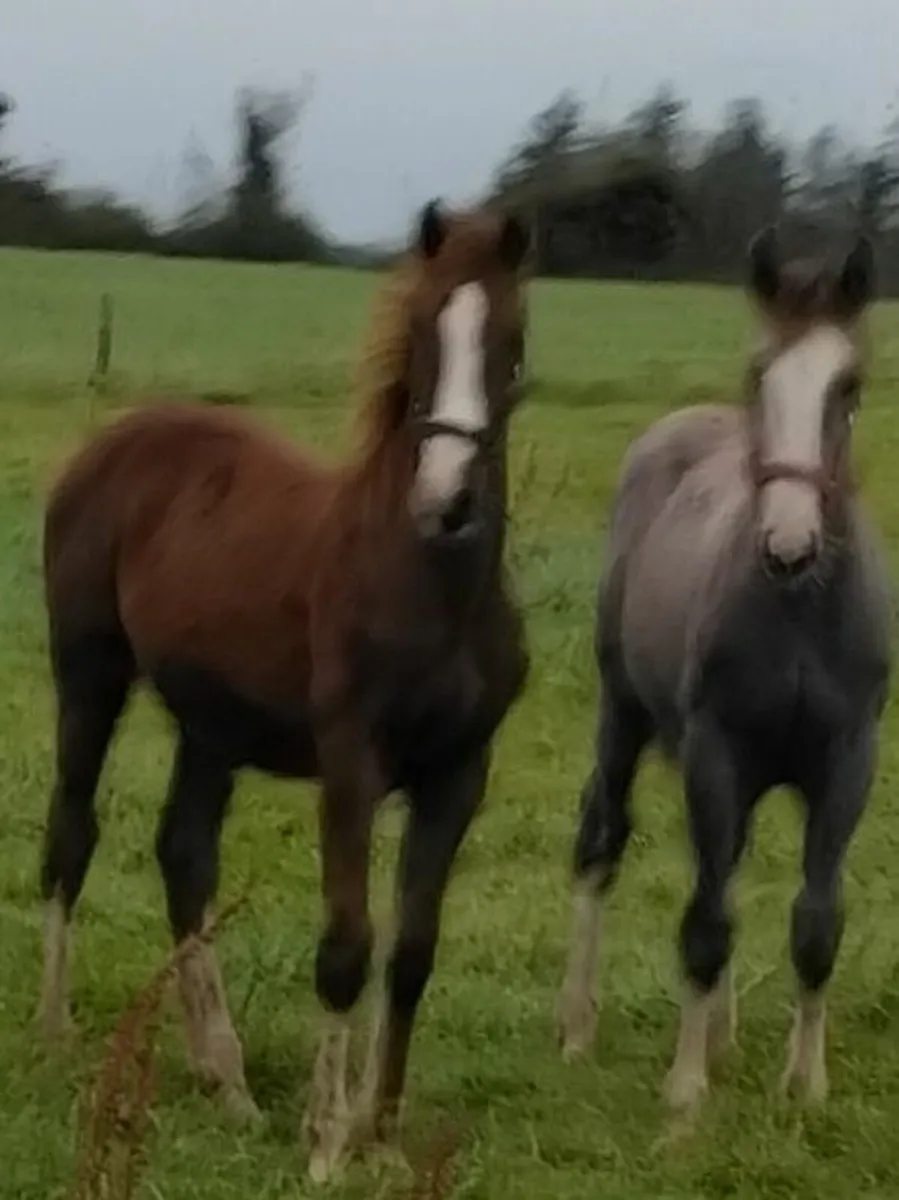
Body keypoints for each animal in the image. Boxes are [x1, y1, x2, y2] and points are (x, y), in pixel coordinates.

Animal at [36, 200, 531, 1182]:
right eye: (424, 335)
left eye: (511, 343)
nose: (448, 502)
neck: (426, 579)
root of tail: (112, 442)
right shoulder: (351, 762)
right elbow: (347, 945)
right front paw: (326, 1139)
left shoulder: (460, 772)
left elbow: (412, 951)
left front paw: (383, 1131)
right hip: (90, 673)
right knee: (71, 834)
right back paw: (54, 1027)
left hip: (208, 721)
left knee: (184, 854)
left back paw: (225, 1080)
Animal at [555, 227, 892, 1118]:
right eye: (757, 374)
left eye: (849, 383)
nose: (788, 545)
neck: (799, 613)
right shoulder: (715, 753)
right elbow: (705, 922)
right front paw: (683, 1092)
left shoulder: (847, 762)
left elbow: (814, 921)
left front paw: (804, 1085)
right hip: (621, 713)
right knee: (603, 841)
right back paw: (578, 1026)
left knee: (728, 865)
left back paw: (722, 1032)